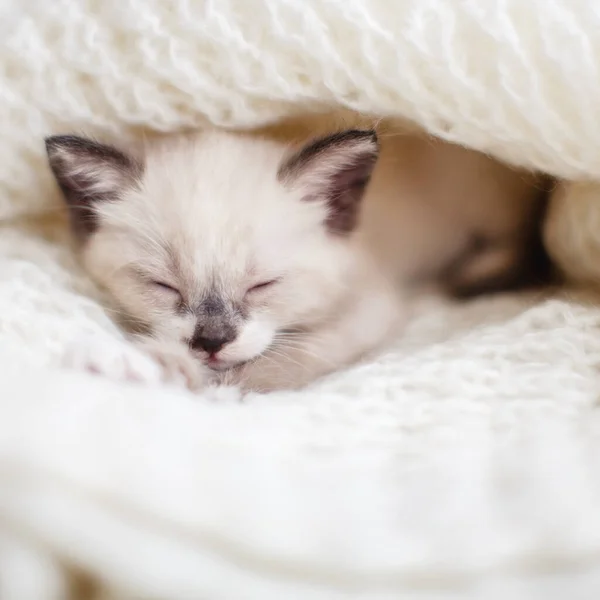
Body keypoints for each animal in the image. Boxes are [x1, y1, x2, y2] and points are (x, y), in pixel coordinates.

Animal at [44, 122, 552, 394]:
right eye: (163, 286)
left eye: (262, 285)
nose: (212, 342)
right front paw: (149, 363)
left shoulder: (373, 305)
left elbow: (294, 355)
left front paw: (222, 387)